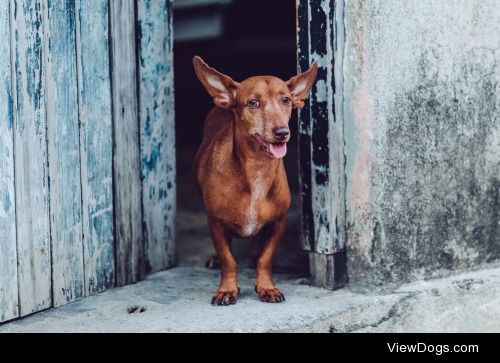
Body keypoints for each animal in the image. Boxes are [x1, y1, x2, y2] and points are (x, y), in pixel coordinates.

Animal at [191, 56, 316, 308]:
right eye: (253, 103)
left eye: (286, 100)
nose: (282, 132)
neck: (258, 168)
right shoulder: (215, 224)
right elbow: (229, 260)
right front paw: (227, 289)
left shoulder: (278, 223)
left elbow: (266, 259)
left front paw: (266, 286)